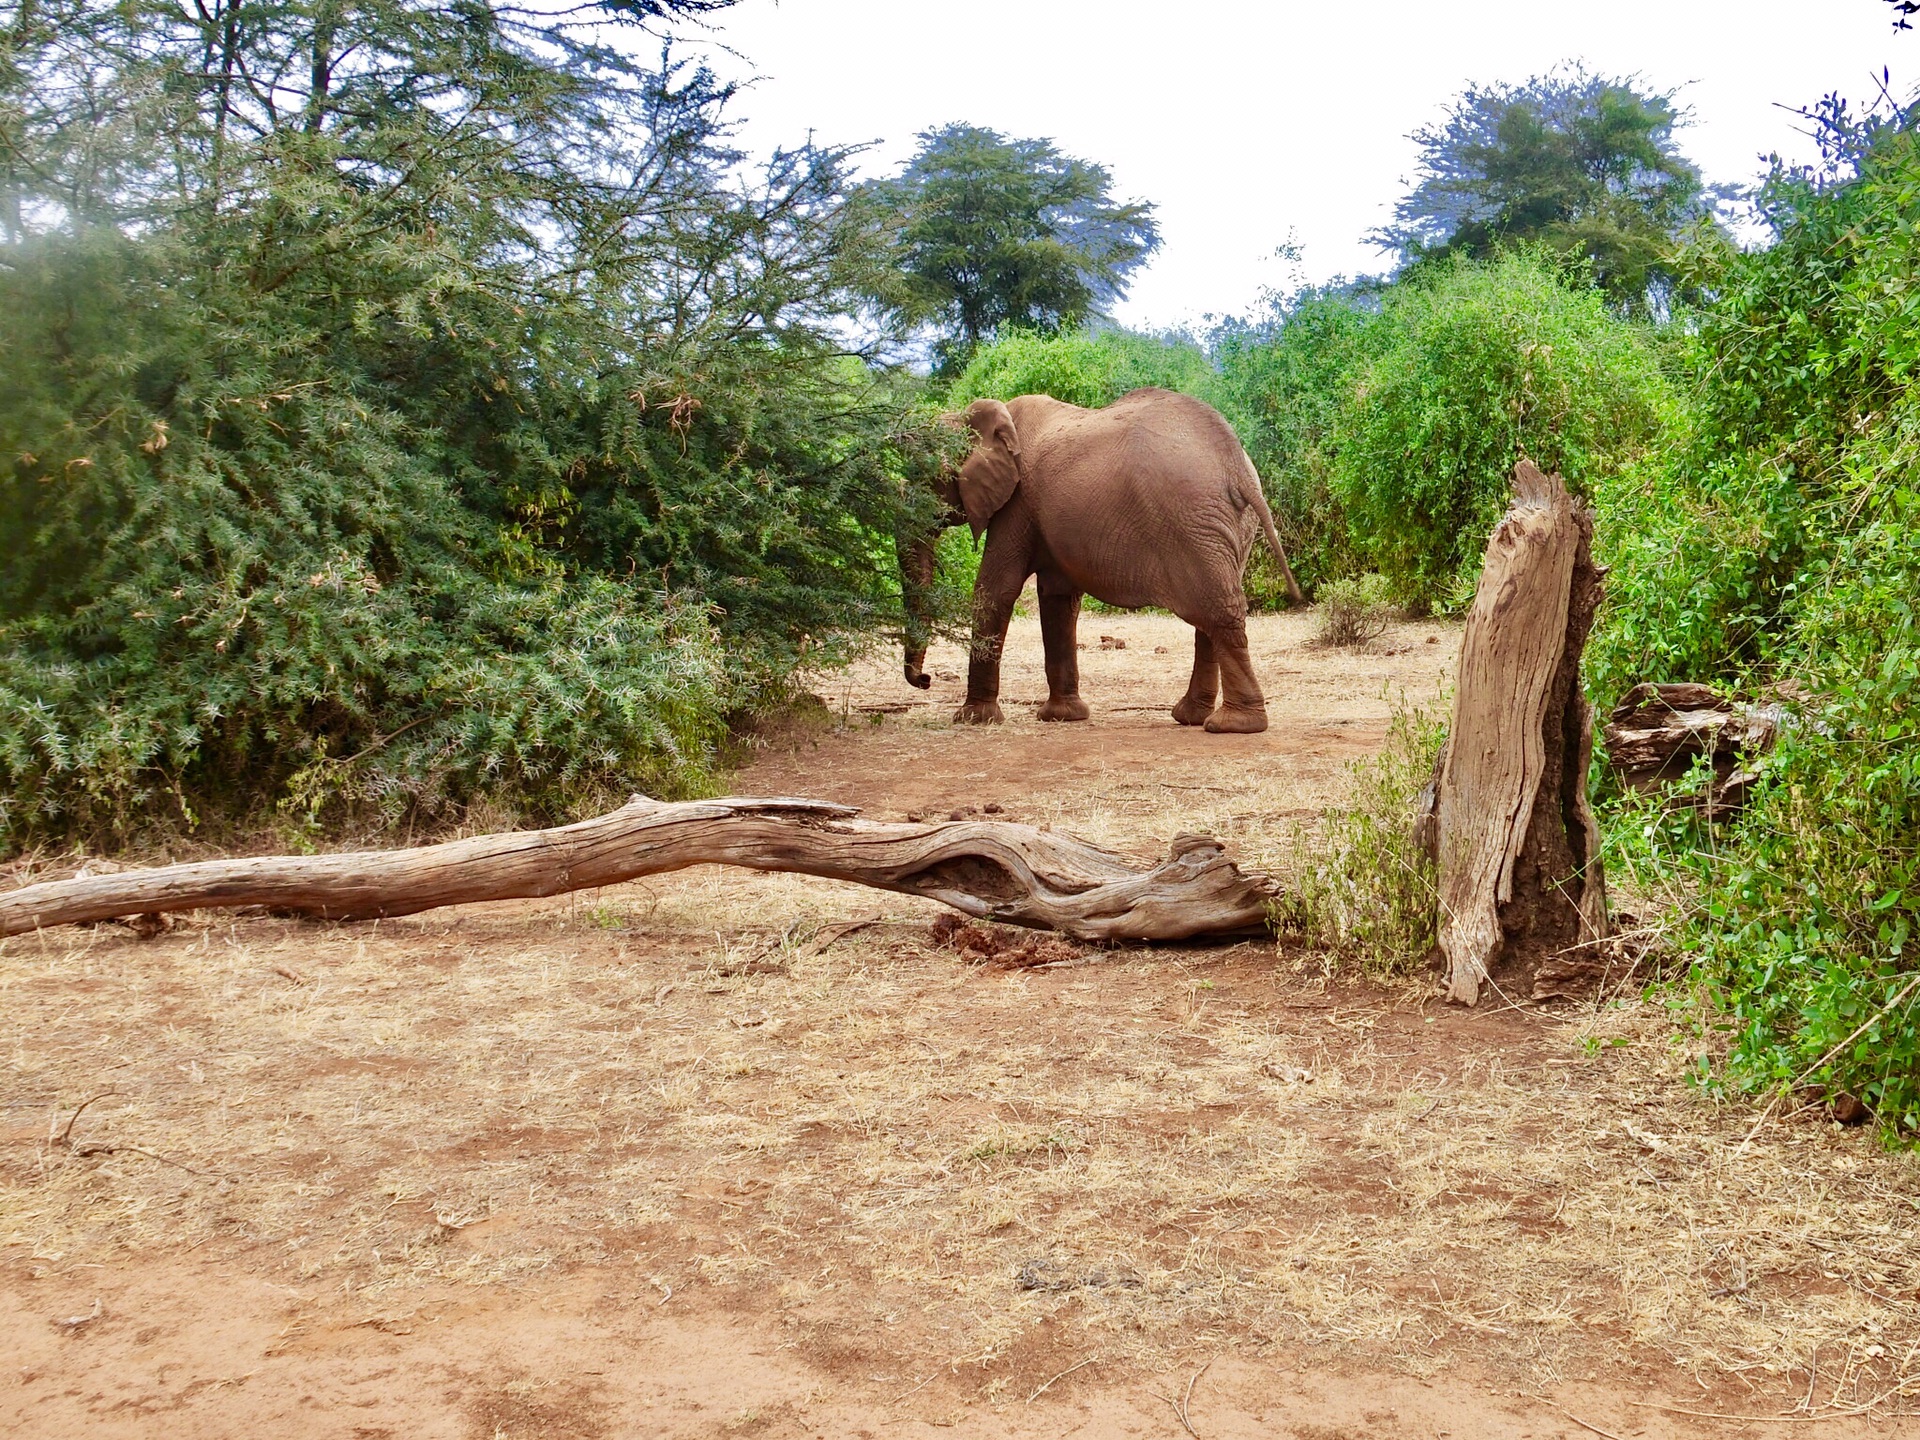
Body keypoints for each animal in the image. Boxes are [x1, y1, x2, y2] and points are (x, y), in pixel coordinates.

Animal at [902, 385, 1305, 733]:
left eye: (928, 476)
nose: (925, 680)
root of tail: (1235, 462)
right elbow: (1058, 600)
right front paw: (1063, 716)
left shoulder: (1017, 504)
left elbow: (994, 590)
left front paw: (973, 719)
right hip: (1228, 526)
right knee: (1211, 614)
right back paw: (1191, 717)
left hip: (1193, 519)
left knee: (1217, 611)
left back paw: (1233, 725)